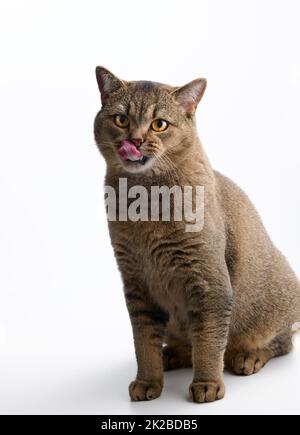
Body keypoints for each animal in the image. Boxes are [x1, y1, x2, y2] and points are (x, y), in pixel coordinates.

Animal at [94, 66, 300, 404]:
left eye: (159, 124)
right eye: (121, 119)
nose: (135, 140)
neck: (146, 202)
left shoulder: (208, 281)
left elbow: (209, 341)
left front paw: (207, 384)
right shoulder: (136, 283)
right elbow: (144, 342)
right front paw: (148, 380)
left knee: (282, 341)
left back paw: (248, 356)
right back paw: (172, 354)